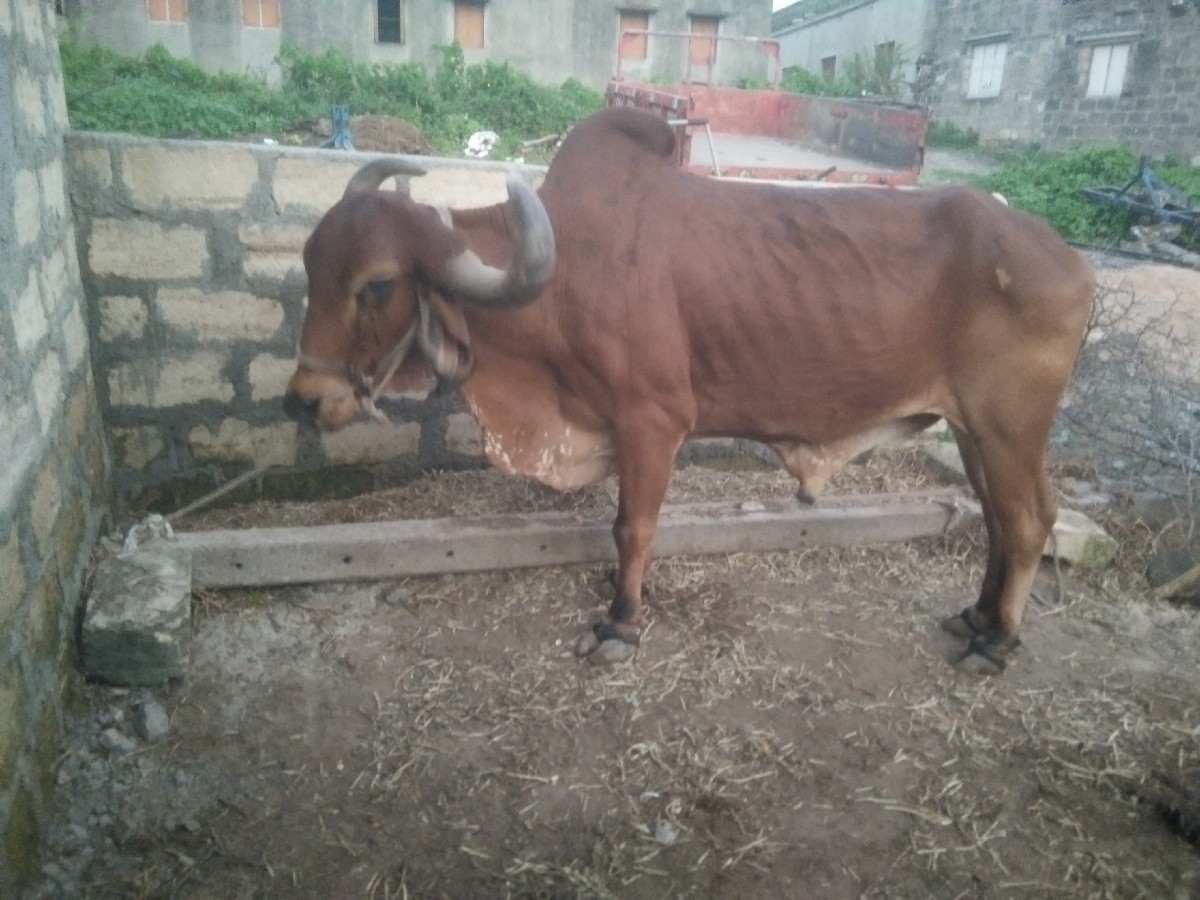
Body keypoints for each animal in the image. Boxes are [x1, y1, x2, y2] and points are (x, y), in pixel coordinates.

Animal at [283, 106, 1095, 674]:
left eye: (377, 285)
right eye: (310, 261)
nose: (300, 398)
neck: (564, 277)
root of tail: (1069, 258)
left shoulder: (653, 422)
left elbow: (632, 528)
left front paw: (619, 624)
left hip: (1006, 425)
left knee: (1027, 522)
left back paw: (996, 643)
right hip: (975, 431)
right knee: (1002, 520)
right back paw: (979, 619)